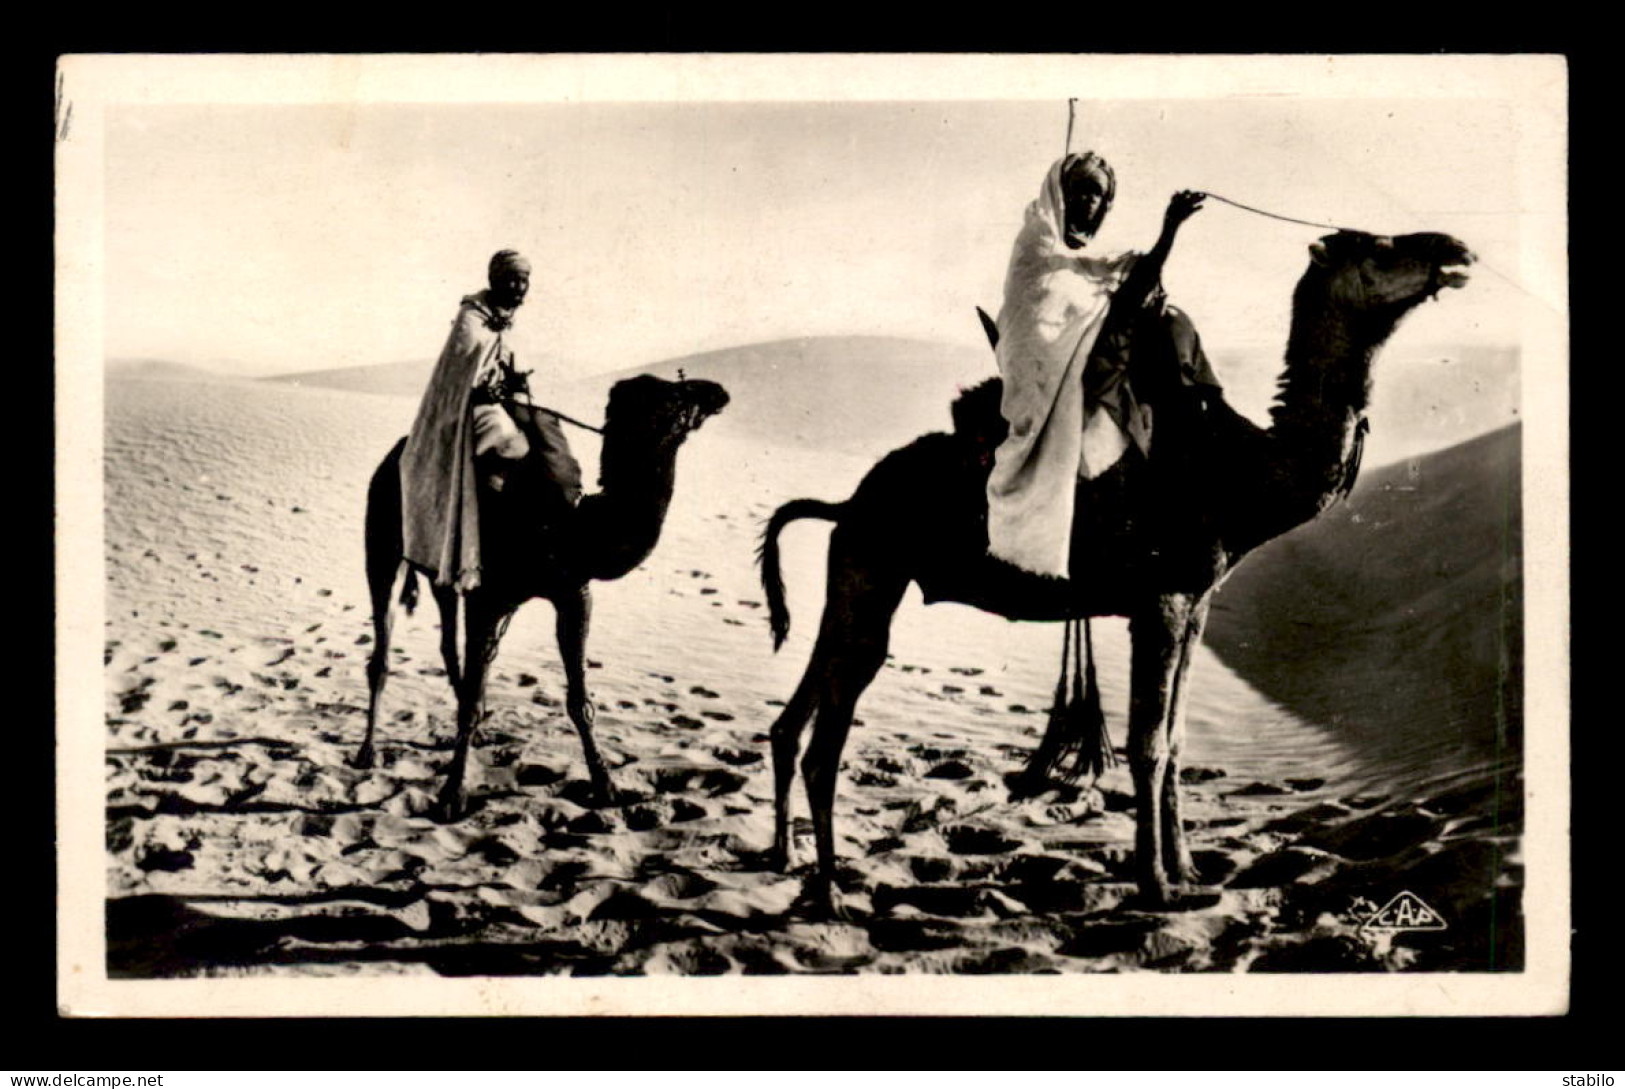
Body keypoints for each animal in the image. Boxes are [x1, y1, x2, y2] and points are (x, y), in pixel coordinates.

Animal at [365, 375, 734, 819]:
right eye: (675, 395)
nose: (717, 392)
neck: (568, 528)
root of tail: (393, 456)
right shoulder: (488, 597)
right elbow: (472, 699)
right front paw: (452, 795)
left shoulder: (572, 592)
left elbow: (578, 700)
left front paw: (606, 786)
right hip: (383, 546)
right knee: (382, 650)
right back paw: (367, 751)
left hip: (445, 575)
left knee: (448, 645)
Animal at [757, 232, 1475, 910]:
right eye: (1379, 246)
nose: (1455, 249)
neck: (1239, 475)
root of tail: (847, 501)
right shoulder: (1159, 601)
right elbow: (1147, 745)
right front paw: (1154, 885)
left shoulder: (1196, 604)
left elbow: (1177, 739)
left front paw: (1188, 870)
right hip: (874, 569)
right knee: (826, 741)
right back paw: (829, 893)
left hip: (854, 575)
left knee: (796, 713)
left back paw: (786, 857)